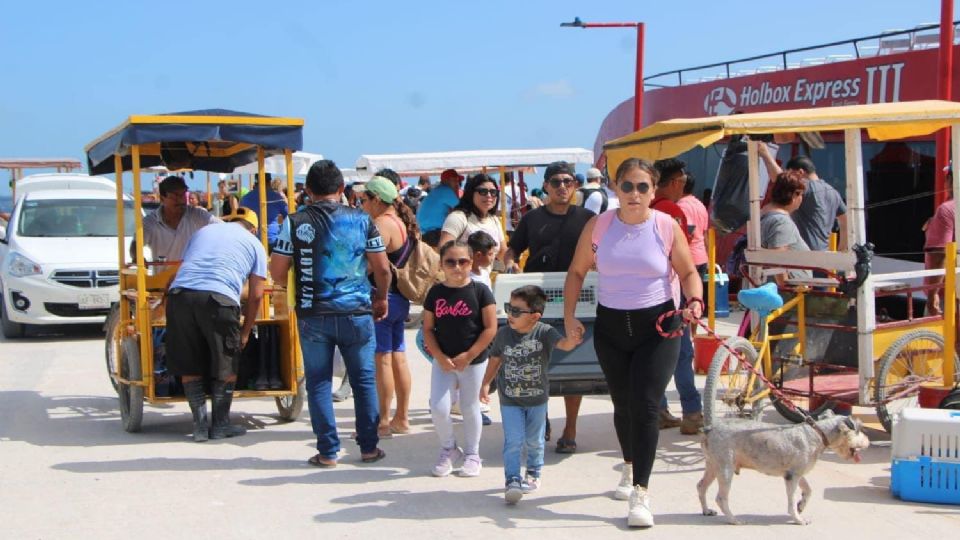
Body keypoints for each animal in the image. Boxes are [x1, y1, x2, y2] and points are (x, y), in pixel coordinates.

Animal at [696, 414, 872, 524]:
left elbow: (808, 490)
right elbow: (791, 501)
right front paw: (798, 519)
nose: (868, 441)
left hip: (713, 466)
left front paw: (801, 505)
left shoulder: (796, 473)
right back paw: (734, 520)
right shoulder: (792, 477)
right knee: (721, 498)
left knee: (701, 486)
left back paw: (706, 511)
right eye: (860, 429)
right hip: (725, 469)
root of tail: (709, 429)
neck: (817, 434)